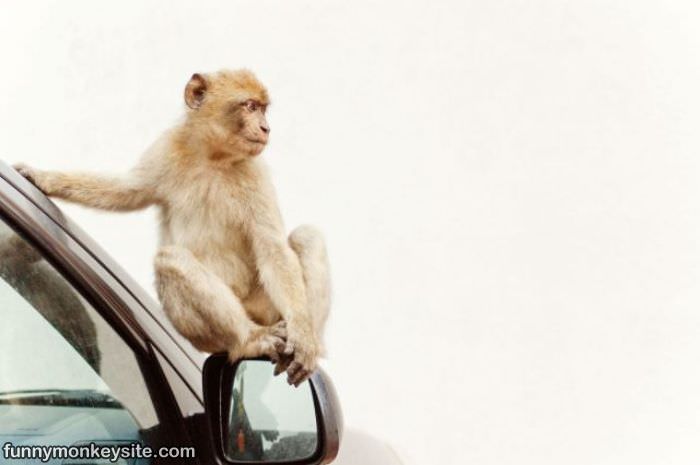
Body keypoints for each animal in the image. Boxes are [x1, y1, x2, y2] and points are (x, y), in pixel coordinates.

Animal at [13, 69, 330, 384]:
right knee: (170, 259)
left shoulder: (256, 174)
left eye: (262, 108)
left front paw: (303, 339)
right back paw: (248, 340)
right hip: (213, 335)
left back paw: (310, 344)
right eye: (250, 106)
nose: (265, 128)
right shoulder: (166, 149)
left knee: (307, 237)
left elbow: (272, 248)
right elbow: (126, 191)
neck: (214, 156)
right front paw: (43, 178)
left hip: (266, 307)